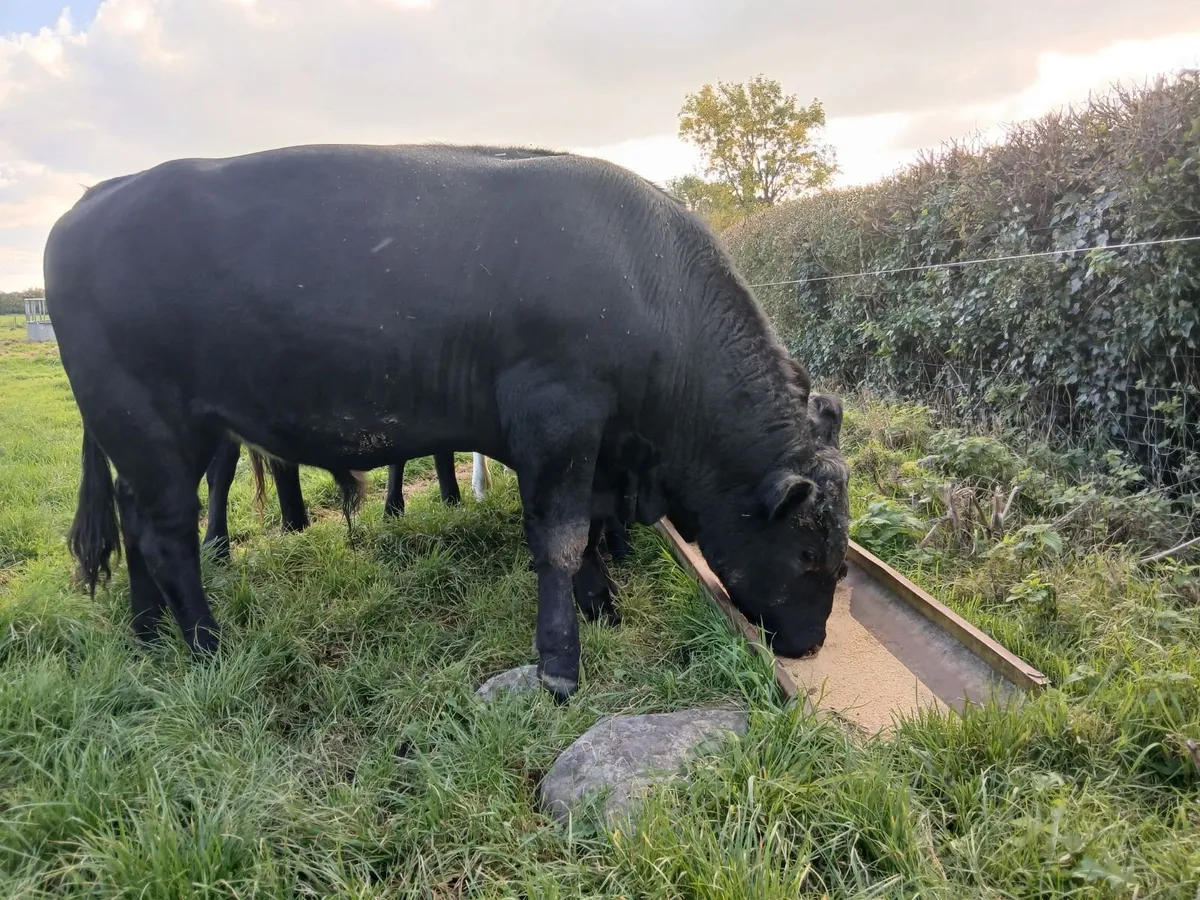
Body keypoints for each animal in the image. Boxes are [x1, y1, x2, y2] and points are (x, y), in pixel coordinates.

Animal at [45, 142, 849, 702]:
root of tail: (96, 195)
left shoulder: (594, 441)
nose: (811, 645)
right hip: (148, 425)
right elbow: (561, 540)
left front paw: (602, 605)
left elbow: (588, 528)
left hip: (161, 437)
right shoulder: (557, 418)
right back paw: (207, 645)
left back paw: (147, 633)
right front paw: (560, 667)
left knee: (134, 524)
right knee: (167, 537)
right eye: (811, 555)